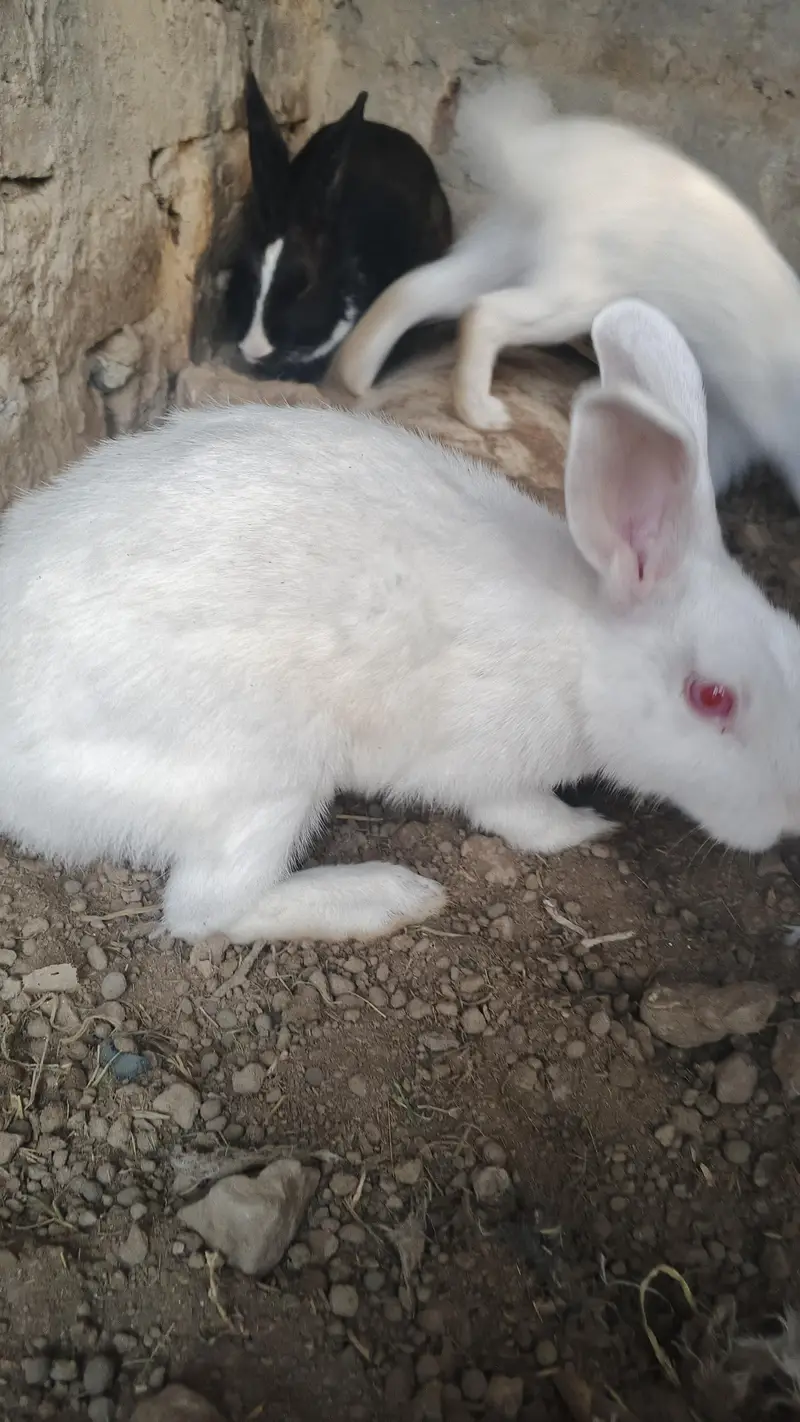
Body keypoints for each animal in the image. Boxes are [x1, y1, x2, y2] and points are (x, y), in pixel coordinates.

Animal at [2, 297, 800, 948]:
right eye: (711, 696)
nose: (788, 817)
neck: (583, 655)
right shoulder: (493, 770)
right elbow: (524, 818)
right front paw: (586, 828)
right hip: (266, 781)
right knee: (206, 911)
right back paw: (388, 896)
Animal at [333, 75, 800, 506]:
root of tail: (541, 153)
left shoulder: (736, 428)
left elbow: (704, 463)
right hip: (577, 293)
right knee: (485, 313)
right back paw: (479, 410)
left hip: (502, 251)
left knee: (414, 290)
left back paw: (357, 375)